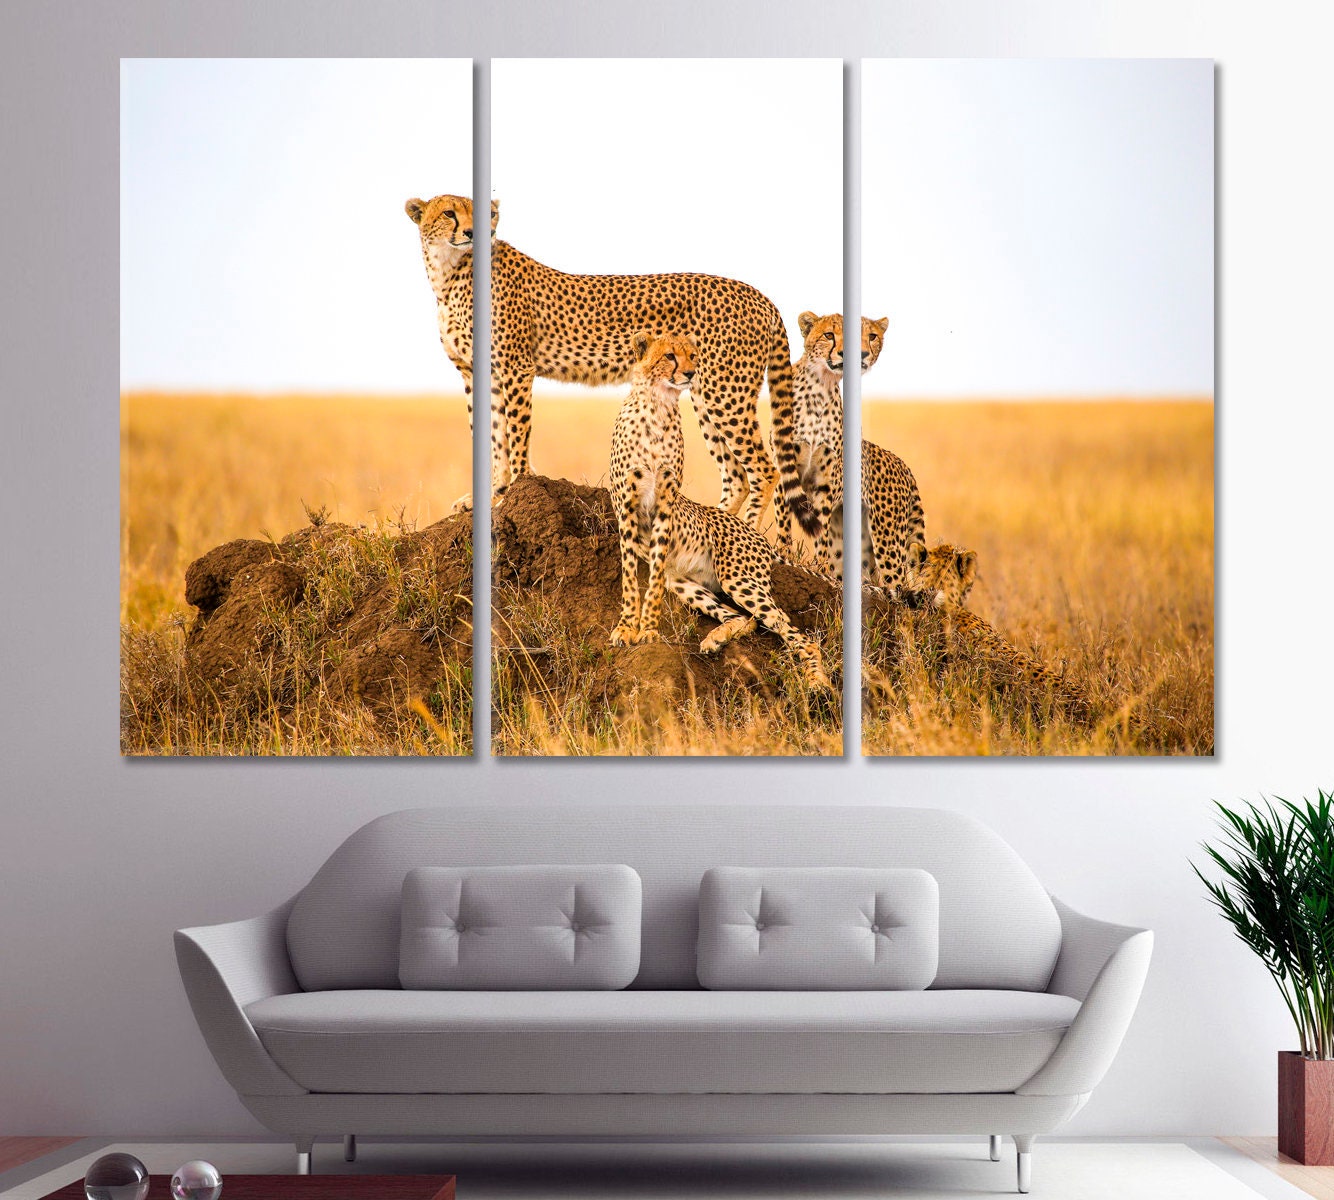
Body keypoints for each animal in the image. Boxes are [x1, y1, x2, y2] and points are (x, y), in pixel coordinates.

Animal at [406, 194, 816, 534]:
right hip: (704, 391)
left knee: (764, 469)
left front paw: (513, 493)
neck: (449, 273)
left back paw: (743, 533)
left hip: (724, 393)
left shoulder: (514, 367)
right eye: (449, 212)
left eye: (487, 213)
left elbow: (515, 435)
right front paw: (488, 496)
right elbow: (492, 437)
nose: (476, 231)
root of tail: (759, 295)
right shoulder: (476, 373)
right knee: (737, 474)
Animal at [608, 331, 831, 691]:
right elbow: (630, 575)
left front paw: (649, 630)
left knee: (795, 633)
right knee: (746, 618)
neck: (657, 406)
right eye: (669, 356)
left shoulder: (665, 504)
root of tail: (755, 535)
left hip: (739, 579)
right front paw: (627, 627)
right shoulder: (627, 506)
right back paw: (715, 639)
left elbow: (651, 581)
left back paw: (817, 682)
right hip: (684, 582)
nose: (690, 373)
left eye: (693, 355)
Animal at [771, 312, 925, 595]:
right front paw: (783, 554)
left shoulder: (825, 482)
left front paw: (820, 567)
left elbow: (820, 530)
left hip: (887, 538)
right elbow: (784, 522)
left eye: (871, 336)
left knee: (896, 585)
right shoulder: (784, 469)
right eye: (828, 335)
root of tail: (904, 465)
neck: (819, 388)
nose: (856, 354)